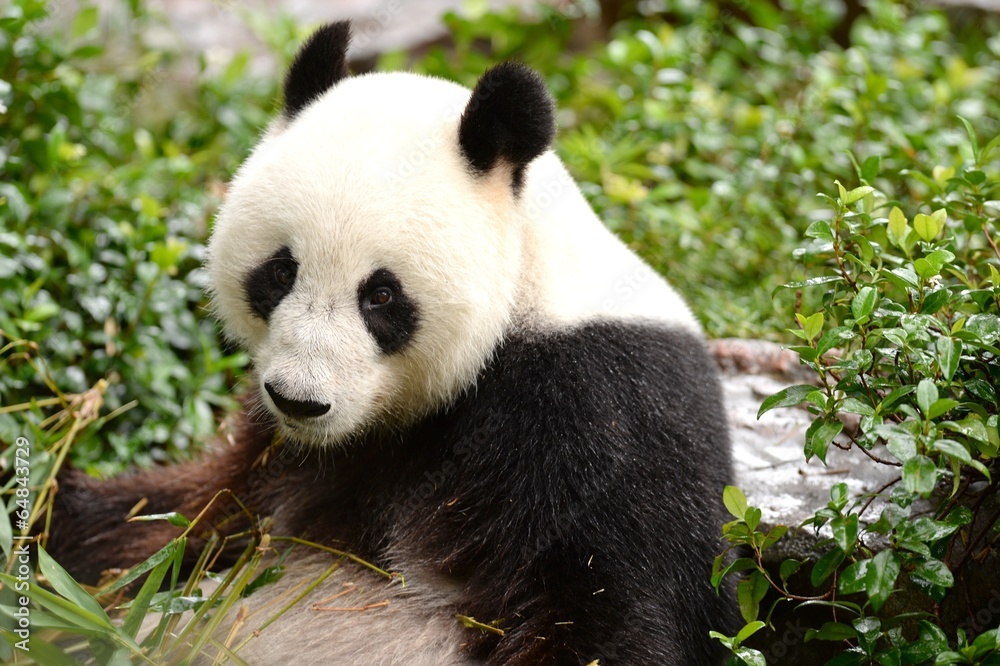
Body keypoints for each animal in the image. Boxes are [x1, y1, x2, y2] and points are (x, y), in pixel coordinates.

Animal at [48, 21, 735, 665]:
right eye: (280, 271)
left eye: (380, 296)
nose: (299, 401)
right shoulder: (288, 454)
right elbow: (186, 518)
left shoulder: (601, 424)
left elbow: (609, 614)